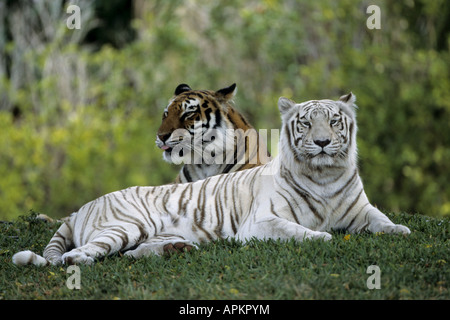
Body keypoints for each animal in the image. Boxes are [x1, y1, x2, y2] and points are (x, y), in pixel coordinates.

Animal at [12, 94, 410, 266]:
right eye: (306, 123)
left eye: (333, 121)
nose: (323, 142)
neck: (325, 175)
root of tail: (81, 209)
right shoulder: (262, 222)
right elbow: (305, 233)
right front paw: (323, 237)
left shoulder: (361, 210)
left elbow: (383, 221)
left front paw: (401, 231)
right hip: (124, 226)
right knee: (78, 255)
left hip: (148, 235)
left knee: (131, 253)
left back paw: (177, 250)